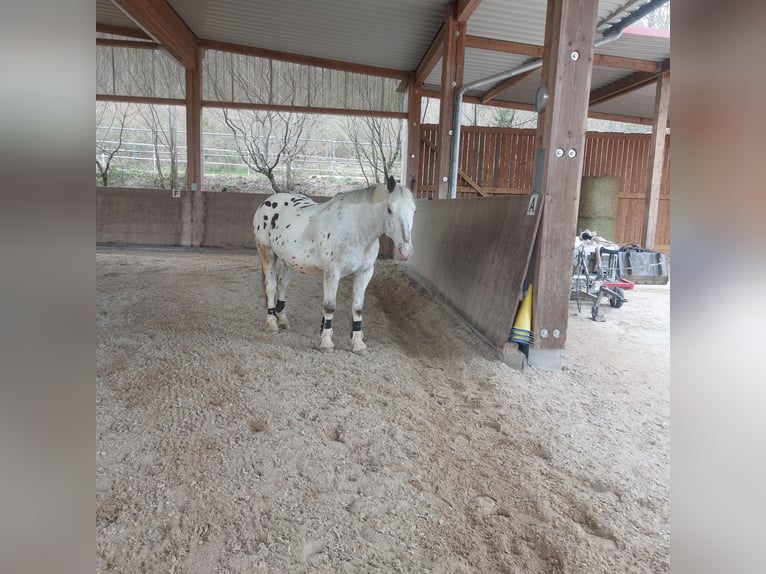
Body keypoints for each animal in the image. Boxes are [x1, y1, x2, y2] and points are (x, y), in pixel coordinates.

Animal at [253, 175, 416, 352]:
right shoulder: (332, 272)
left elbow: (358, 308)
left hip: (289, 261)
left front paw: (357, 343)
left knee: (282, 285)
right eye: (389, 209)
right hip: (267, 253)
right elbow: (329, 307)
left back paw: (282, 320)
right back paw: (272, 323)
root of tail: (268, 201)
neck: (356, 229)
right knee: (270, 286)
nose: (406, 251)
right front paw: (326, 342)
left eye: (414, 210)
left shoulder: (365, 272)